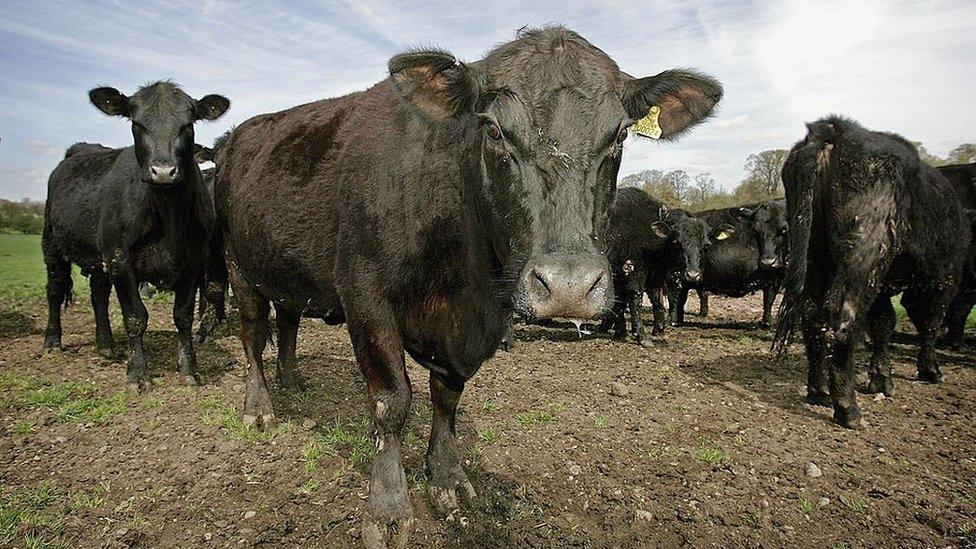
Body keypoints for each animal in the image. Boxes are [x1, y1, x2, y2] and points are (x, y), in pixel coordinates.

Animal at [45, 80, 231, 390]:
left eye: (188, 124)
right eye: (137, 123)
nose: (163, 171)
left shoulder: (195, 261)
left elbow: (182, 315)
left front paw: (189, 369)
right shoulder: (121, 260)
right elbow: (135, 317)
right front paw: (138, 373)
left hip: (99, 258)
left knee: (98, 295)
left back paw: (106, 345)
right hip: (52, 243)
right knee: (55, 288)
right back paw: (52, 340)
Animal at [604, 186, 716, 344]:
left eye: (706, 245)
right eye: (676, 242)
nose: (693, 275)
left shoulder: (654, 276)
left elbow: (656, 299)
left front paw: (658, 330)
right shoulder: (633, 272)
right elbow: (633, 298)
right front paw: (640, 335)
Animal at [772, 117, 972, 430]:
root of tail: (832, 129)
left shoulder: (884, 285)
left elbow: (883, 323)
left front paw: (881, 379)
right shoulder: (947, 277)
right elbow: (931, 322)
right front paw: (930, 370)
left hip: (816, 255)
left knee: (813, 316)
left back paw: (819, 391)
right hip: (865, 251)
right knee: (843, 318)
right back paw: (848, 409)